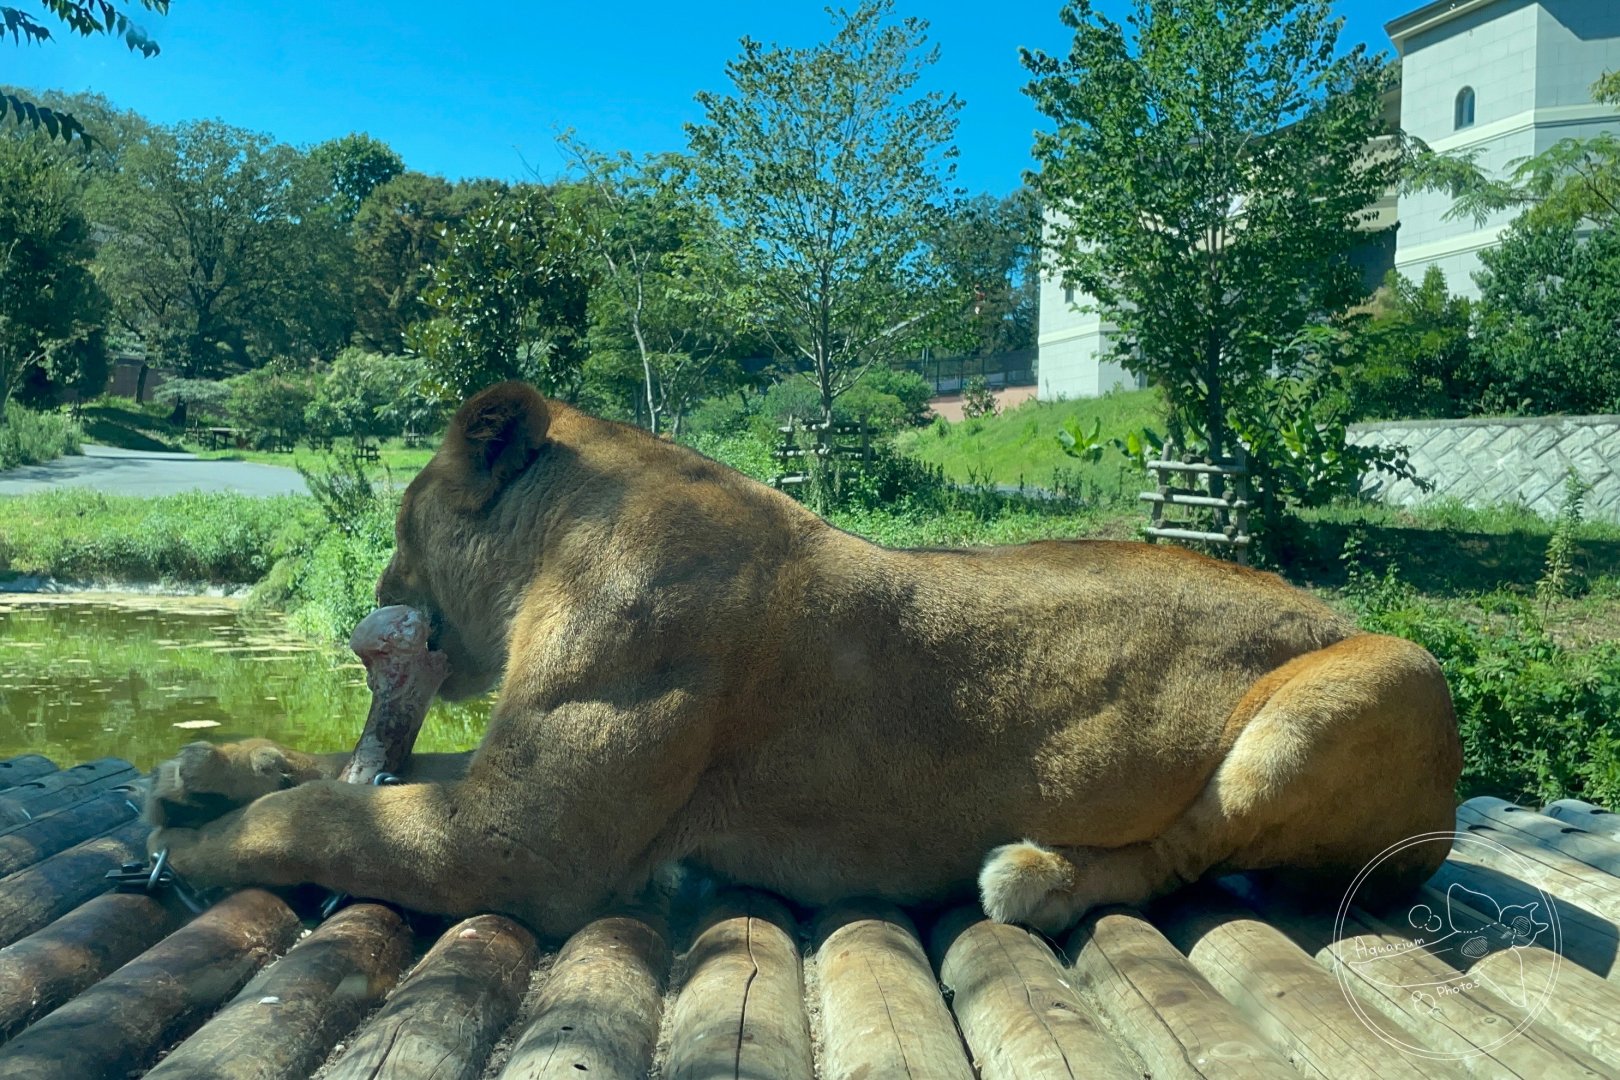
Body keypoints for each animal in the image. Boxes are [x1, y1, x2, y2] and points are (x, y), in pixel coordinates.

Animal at [144, 381, 1462, 939]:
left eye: (404, 523)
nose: (376, 600)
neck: (557, 552)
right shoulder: (513, 777)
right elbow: (339, 775)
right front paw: (208, 772)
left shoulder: (525, 840)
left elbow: (325, 821)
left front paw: (199, 843)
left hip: (1379, 680)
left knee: (1187, 851)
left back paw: (1035, 878)